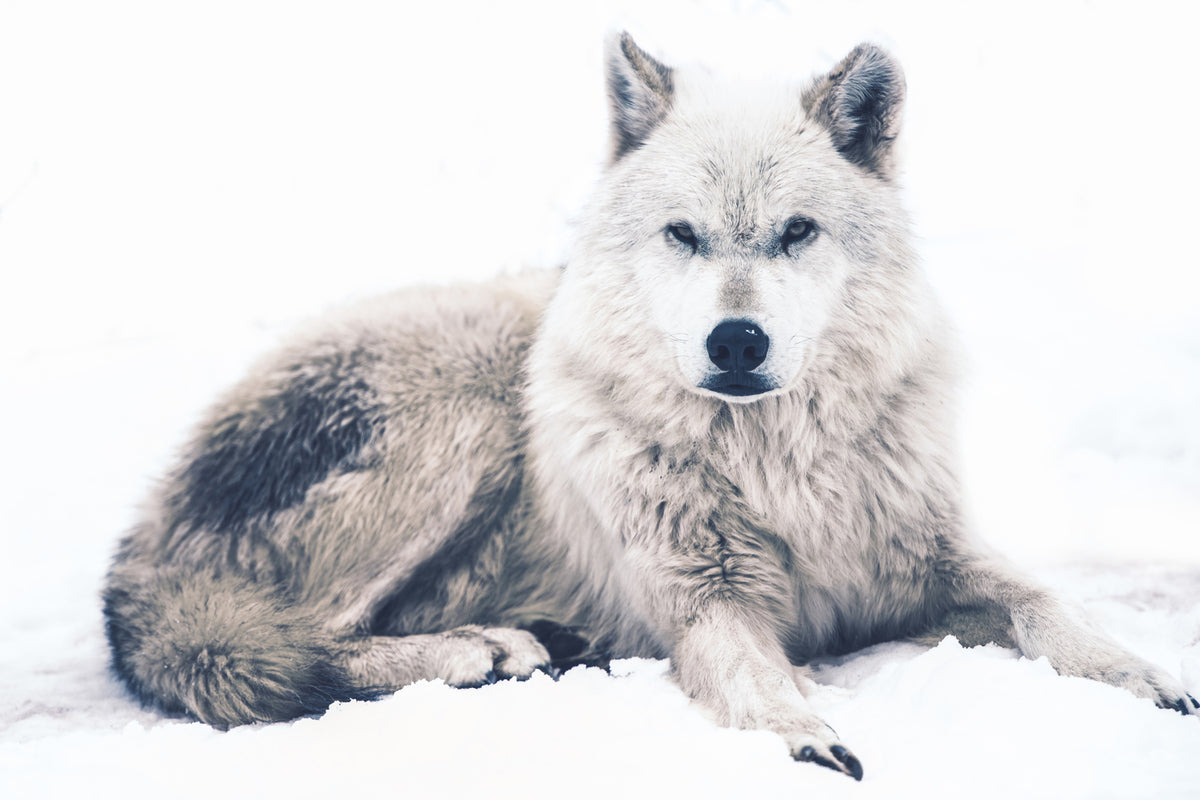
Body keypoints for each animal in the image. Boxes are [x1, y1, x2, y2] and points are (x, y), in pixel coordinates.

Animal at [103, 33, 1197, 779]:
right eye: (683, 234)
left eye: (797, 231)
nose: (736, 341)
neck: (779, 465)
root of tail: (136, 559)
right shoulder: (706, 600)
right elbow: (757, 682)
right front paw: (805, 737)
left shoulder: (930, 559)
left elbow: (1047, 603)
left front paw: (1147, 677)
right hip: (466, 411)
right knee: (290, 644)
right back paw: (486, 649)